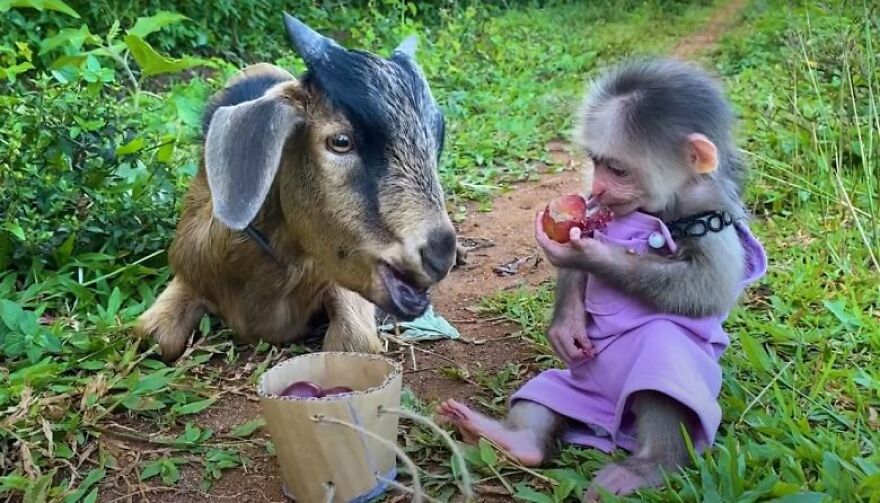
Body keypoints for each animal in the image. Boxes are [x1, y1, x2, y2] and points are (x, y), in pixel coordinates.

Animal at [437, 57, 768, 500]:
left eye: (618, 168)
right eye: (594, 163)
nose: (596, 189)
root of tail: (607, 429)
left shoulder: (708, 215)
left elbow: (708, 288)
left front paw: (593, 253)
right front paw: (567, 326)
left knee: (663, 358)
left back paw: (648, 466)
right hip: (566, 385)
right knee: (542, 402)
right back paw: (509, 440)